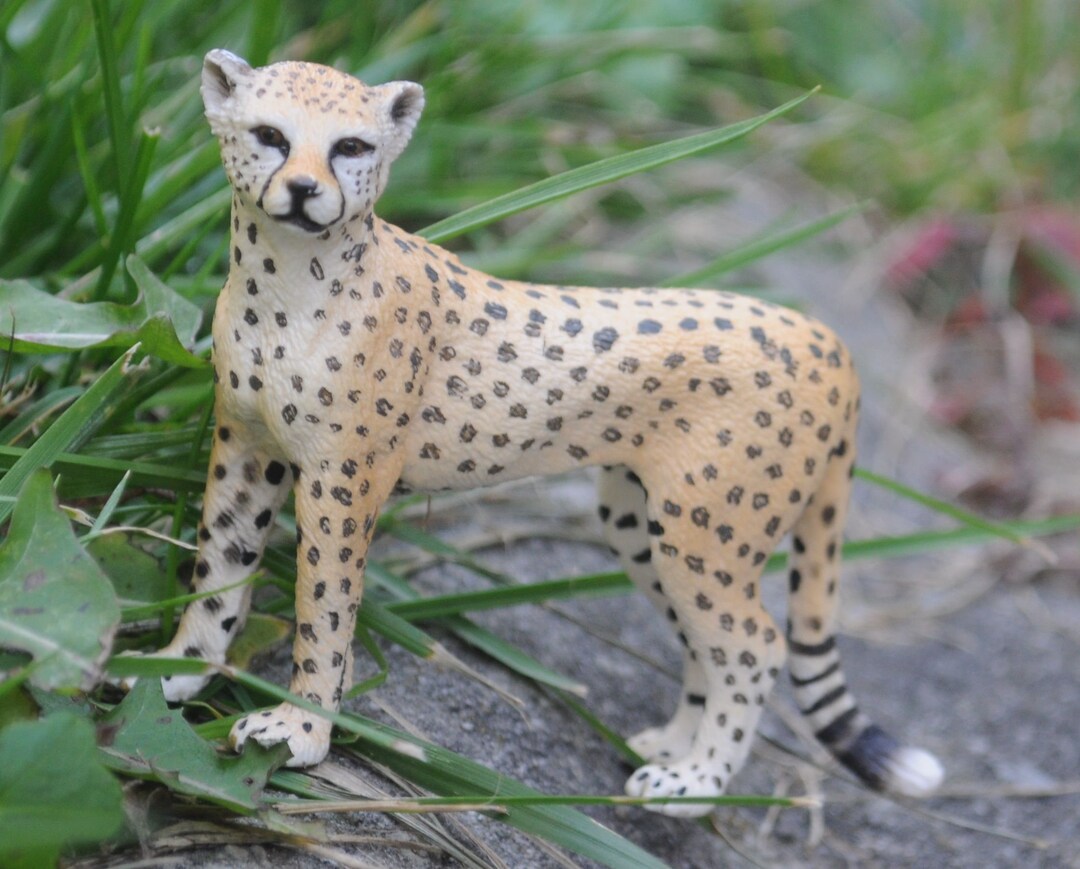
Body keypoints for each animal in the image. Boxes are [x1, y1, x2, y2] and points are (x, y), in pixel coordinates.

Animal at [133, 48, 944, 818]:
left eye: (351, 146)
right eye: (270, 136)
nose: (304, 191)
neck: (289, 280)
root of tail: (826, 339)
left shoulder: (343, 483)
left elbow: (324, 609)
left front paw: (300, 734)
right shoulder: (246, 448)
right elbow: (218, 571)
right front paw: (175, 671)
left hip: (706, 534)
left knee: (754, 647)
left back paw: (697, 784)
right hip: (643, 522)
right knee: (706, 644)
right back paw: (673, 747)